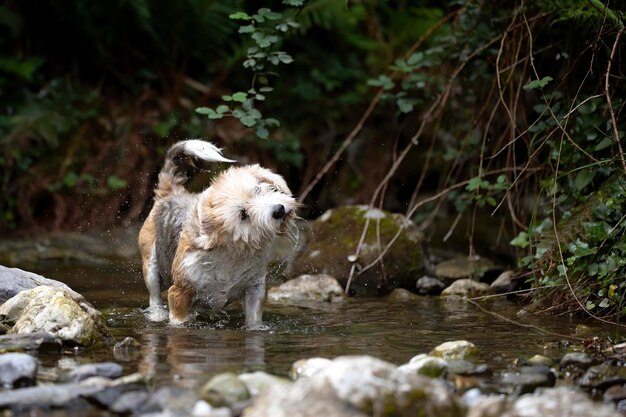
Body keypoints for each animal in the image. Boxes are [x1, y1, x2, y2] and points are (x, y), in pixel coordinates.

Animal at [138, 140, 298, 328]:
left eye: (258, 190)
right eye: (243, 214)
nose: (279, 210)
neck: (233, 255)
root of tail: (171, 192)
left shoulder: (255, 288)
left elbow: (253, 319)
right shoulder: (179, 293)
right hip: (150, 265)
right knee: (154, 296)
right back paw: (156, 314)